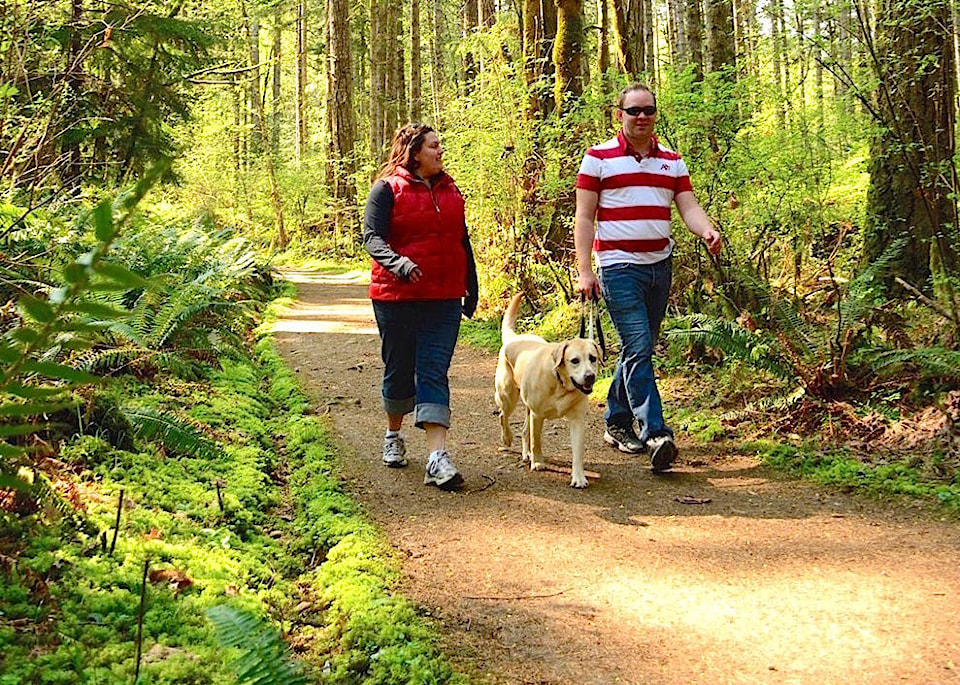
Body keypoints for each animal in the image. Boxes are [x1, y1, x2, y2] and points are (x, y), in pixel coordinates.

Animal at [496, 294, 600, 486]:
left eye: (593, 358)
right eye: (574, 360)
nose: (590, 376)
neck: (560, 384)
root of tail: (514, 337)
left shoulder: (577, 420)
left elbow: (578, 452)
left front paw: (578, 477)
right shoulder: (537, 415)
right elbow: (536, 442)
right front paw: (538, 462)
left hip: (526, 406)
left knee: (524, 430)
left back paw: (526, 453)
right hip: (507, 395)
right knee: (503, 416)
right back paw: (507, 438)